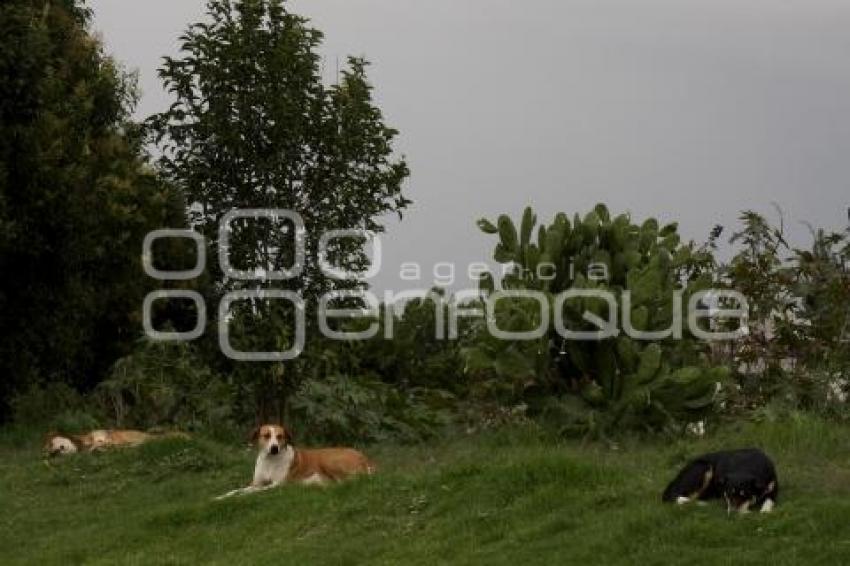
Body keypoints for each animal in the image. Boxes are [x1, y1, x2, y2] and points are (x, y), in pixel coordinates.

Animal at [216, 424, 375, 499]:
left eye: (280, 436)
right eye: (266, 435)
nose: (274, 448)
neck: (270, 461)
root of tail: (364, 456)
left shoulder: (277, 484)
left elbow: (255, 491)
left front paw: (242, 496)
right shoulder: (256, 483)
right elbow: (236, 490)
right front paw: (220, 497)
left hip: (329, 461)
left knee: (349, 481)